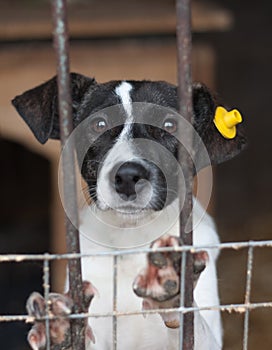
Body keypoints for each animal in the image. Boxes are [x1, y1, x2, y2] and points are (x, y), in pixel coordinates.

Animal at [12, 72, 246, 348]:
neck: (131, 236)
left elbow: (193, 325)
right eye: (99, 124)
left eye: (170, 125)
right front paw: (60, 329)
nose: (127, 177)